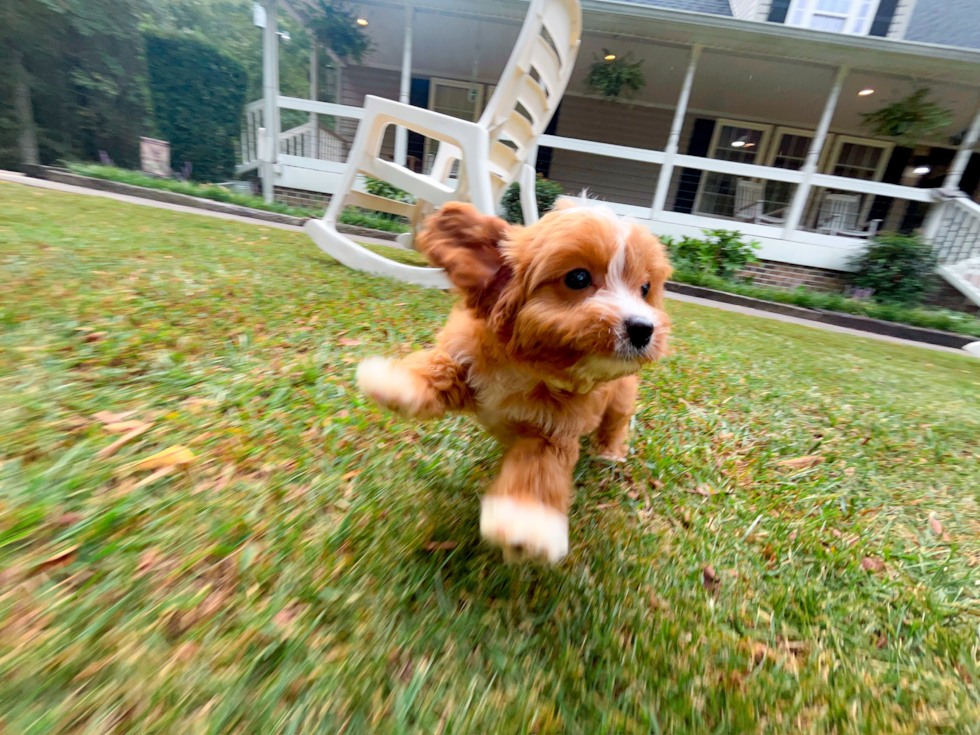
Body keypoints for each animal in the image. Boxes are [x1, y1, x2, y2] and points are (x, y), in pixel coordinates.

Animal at [356, 197, 668, 564]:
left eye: (645, 289)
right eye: (578, 277)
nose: (643, 329)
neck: (527, 368)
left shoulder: (552, 434)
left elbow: (536, 472)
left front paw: (527, 524)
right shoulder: (468, 360)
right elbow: (441, 366)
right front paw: (396, 381)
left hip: (621, 395)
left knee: (616, 420)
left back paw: (610, 452)